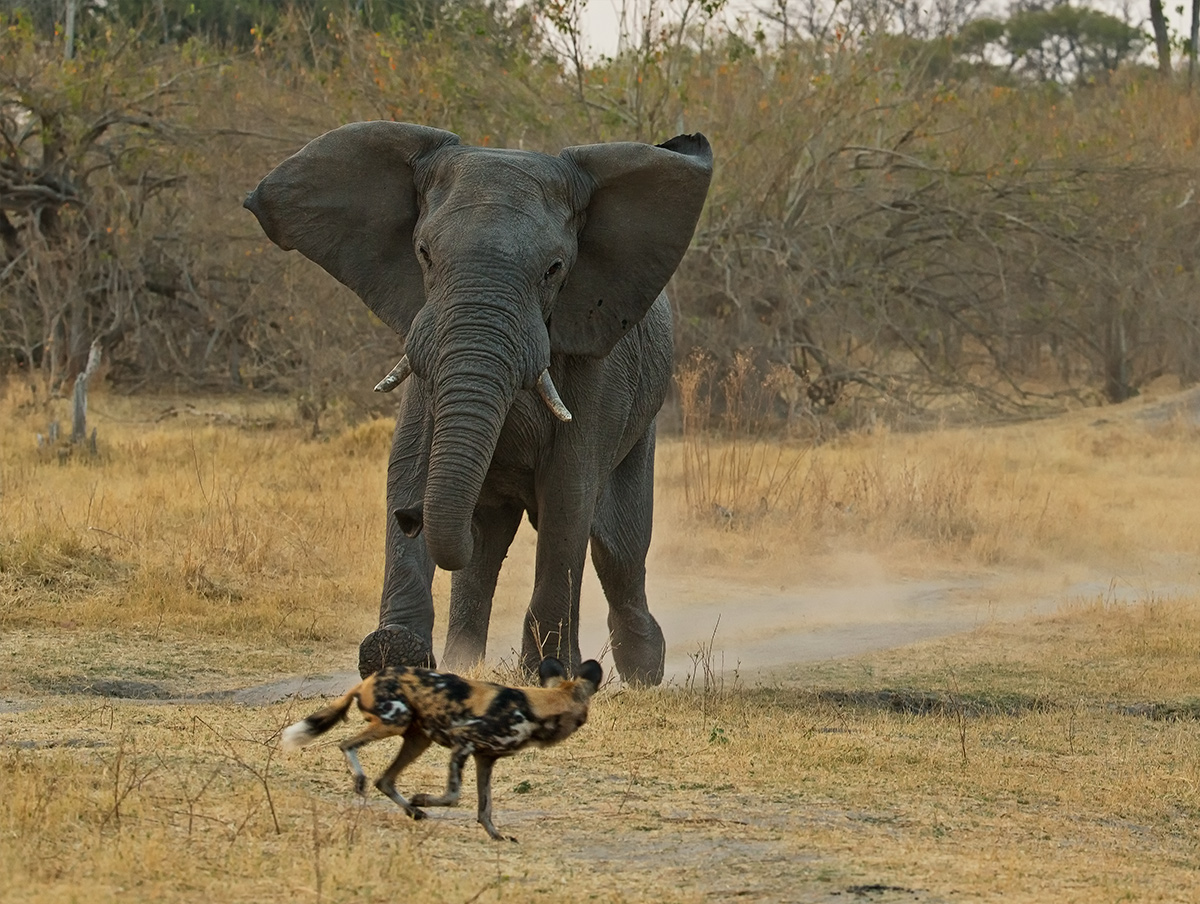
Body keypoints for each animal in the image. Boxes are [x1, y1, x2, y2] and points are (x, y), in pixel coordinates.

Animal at [244, 121, 712, 685]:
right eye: (423, 252)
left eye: (554, 269)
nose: (411, 519)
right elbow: (407, 467)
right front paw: (394, 655)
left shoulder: (595, 367)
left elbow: (569, 494)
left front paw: (550, 672)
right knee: (488, 542)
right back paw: (463, 663)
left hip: (643, 419)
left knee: (617, 547)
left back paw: (644, 670)